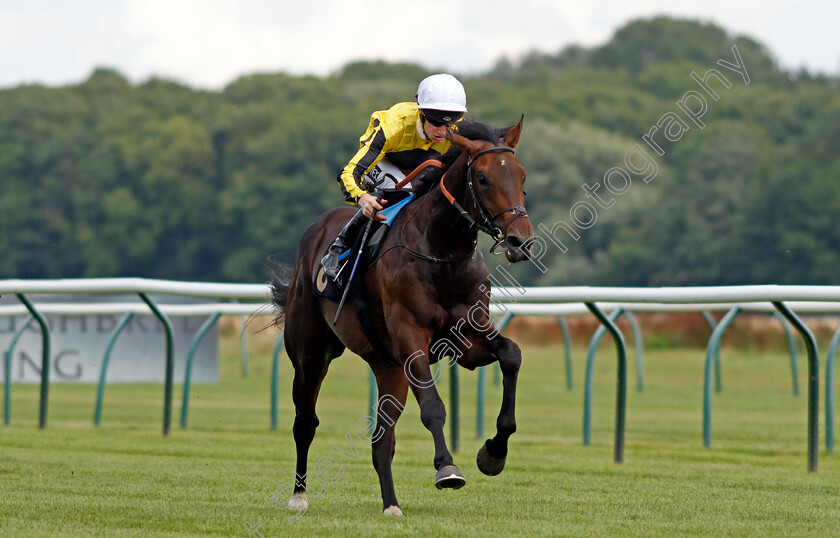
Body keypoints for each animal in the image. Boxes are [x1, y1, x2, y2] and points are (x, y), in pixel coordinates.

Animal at [272, 117, 536, 516]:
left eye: (521, 176)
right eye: (483, 178)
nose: (521, 241)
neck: (441, 252)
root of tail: (315, 231)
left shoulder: (467, 339)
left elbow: (512, 355)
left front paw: (493, 453)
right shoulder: (411, 338)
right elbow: (433, 407)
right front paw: (447, 468)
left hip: (388, 367)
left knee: (382, 441)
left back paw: (391, 505)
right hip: (310, 353)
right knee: (305, 421)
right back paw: (299, 496)